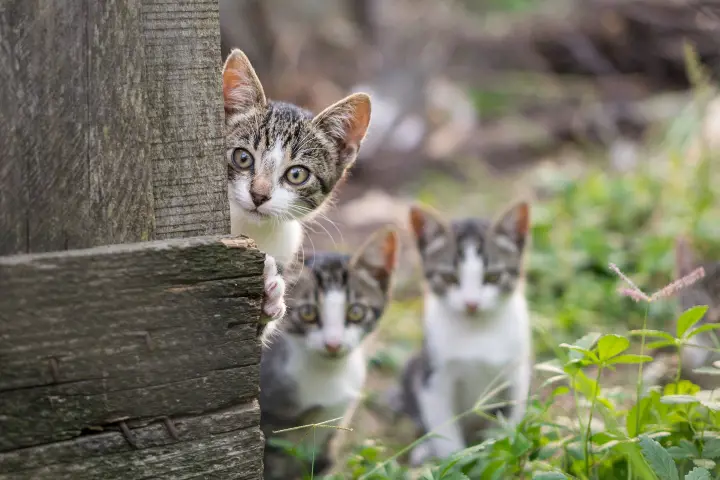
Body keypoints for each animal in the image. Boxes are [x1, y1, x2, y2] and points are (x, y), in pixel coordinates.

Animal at [400, 202, 536, 464]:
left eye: (493, 276)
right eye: (449, 277)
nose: (471, 303)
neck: (477, 331)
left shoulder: (516, 373)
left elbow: (511, 418)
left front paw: (506, 449)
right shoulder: (433, 378)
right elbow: (444, 431)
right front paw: (454, 460)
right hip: (413, 368)